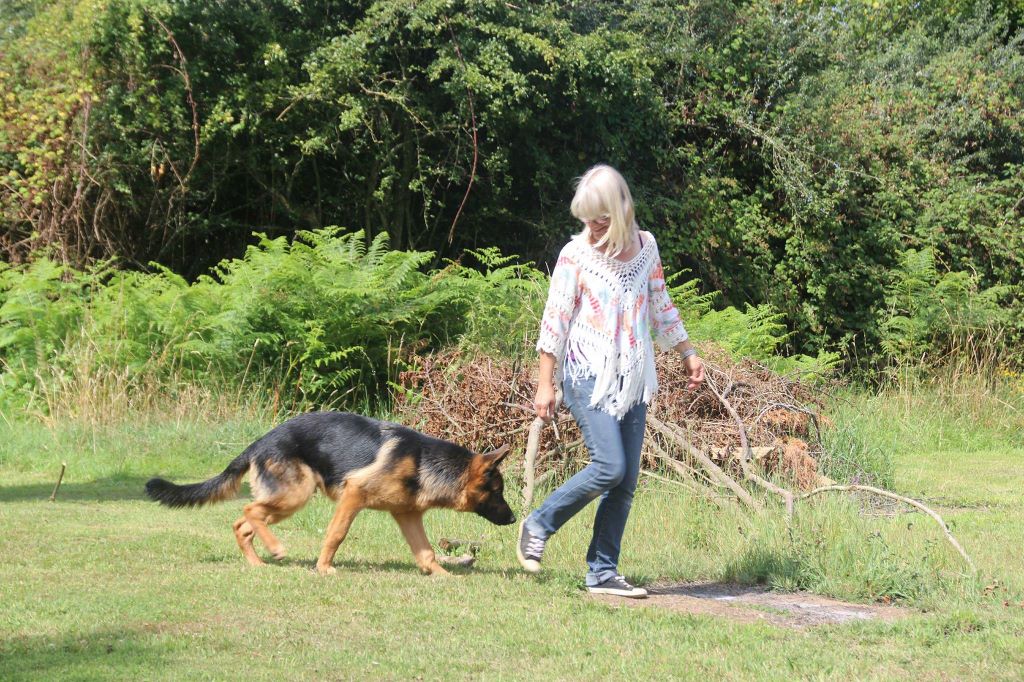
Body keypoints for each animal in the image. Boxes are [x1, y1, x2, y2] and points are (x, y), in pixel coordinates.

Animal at [146, 409, 512, 573]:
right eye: (497, 492)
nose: (512, 519)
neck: (423, 462)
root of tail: (259, 442)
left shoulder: (406, 514)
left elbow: (426, 552)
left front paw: (442, 575)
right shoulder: (353, 496)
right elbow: (336, 534)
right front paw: (324, 568)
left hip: (284, 500)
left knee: (242, 524)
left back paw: (257, 563)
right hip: (296, 494)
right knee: (249, 512)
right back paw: (275, 549)